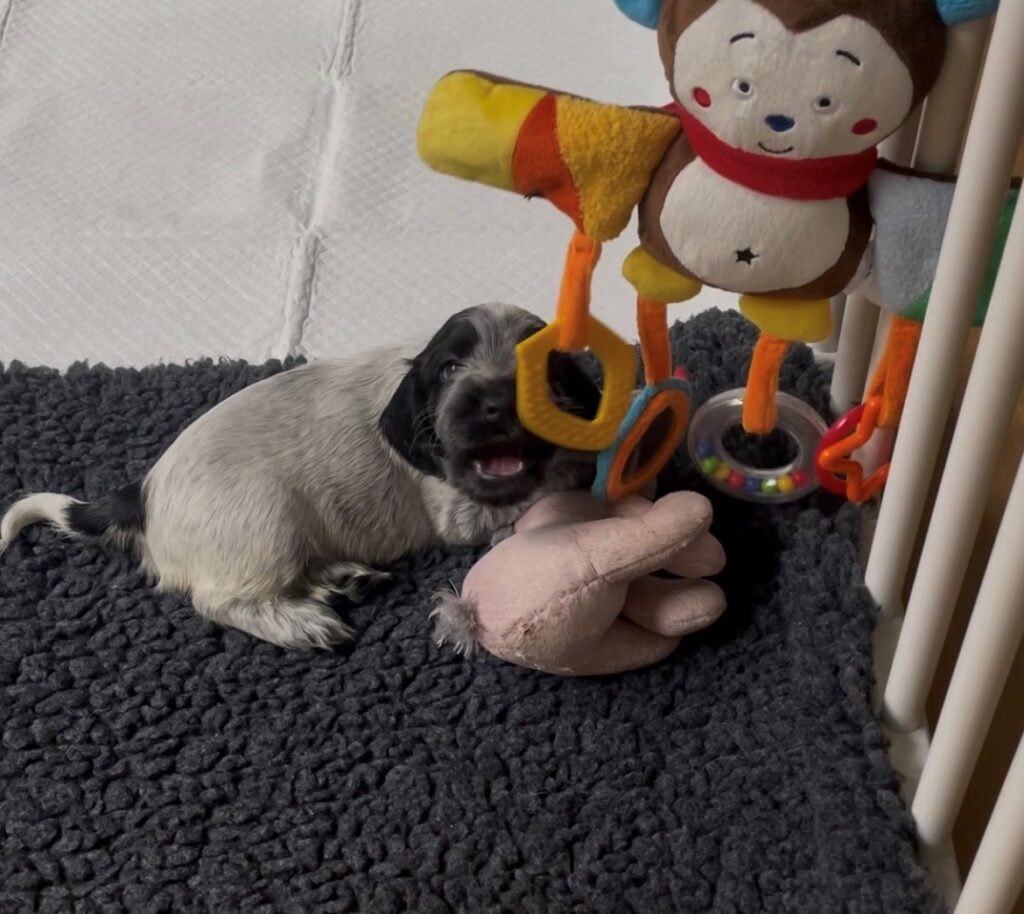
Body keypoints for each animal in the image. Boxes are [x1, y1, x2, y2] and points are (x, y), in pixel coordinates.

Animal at [0, 303, 600, 650]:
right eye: (451, 369)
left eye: (543, 369)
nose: (499, 404)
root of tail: (139, 495)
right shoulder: (458, 507)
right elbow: (535, 492)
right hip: (268, 521)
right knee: (219, 599)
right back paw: (302, 623)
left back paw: (343, 578)